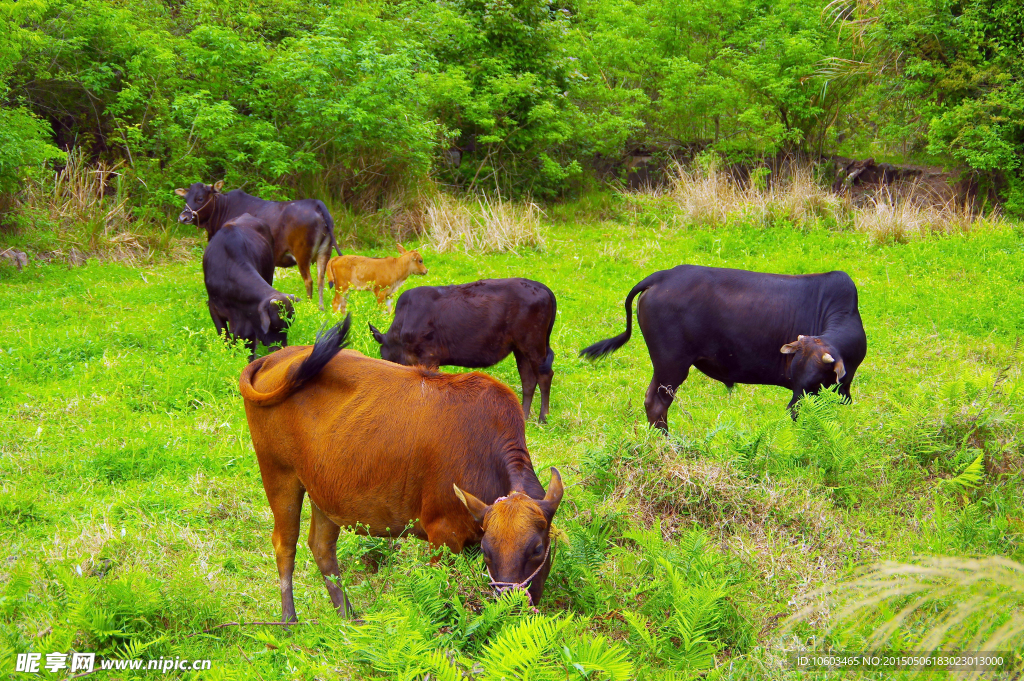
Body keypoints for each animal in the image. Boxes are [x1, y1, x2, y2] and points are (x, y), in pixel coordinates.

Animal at [172, 180, 339, 307]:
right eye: (186, 198)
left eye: (200, 198)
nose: (183, 217)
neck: (222, 210)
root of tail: (316, 203)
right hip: (324, 252)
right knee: (321, 279)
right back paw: (320, 308)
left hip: (302, 253)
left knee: (309, 281)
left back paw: (309, 306)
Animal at [199, 213, 296, 360]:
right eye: (273, 326)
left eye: (289, 324)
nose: (280, 349)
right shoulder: (214, 308)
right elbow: (225, 338)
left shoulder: (248, 322)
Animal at [236, 315, 565, 618]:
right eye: (488, 550)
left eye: (537, 549)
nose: (511, 604)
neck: (487, 453)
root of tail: (274, 358)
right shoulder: (442, 536)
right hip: (278, 474)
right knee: (285, 544)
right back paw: (289, 619)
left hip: (324, 491)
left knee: (321, 547)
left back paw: (347, 616)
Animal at [370, 278, 561, 421]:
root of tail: (540, 286)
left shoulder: (429, 357)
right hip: (520, 347)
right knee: (528, 380)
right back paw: (525, 416)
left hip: (533, 344)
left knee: (544, 375)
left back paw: (543, 418)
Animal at [581, 266, 868, 430]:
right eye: (800, 378)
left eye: (815, 379)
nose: (792, 413)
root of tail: (662, 276)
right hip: (671, 364)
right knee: (656, 403)